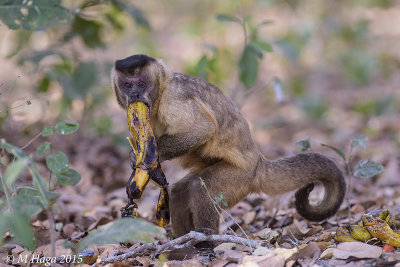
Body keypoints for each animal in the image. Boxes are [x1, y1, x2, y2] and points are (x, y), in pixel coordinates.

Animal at [111, 53, 346, 238]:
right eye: (127, 85)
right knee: (179, 191)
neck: (160, 93)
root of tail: (259, 164)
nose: (135, 95)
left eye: (141, 84)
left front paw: (146, 158)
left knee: (200, 188)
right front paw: (144, 166)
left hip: (240, 178)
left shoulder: (174, 99)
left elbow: (202, 129)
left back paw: (205, 239)